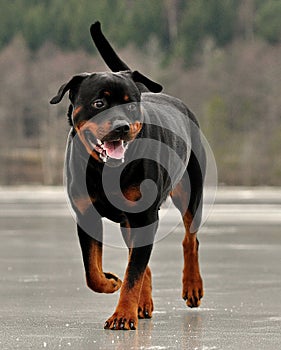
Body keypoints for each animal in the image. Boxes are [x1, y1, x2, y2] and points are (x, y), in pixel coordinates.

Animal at [49, 22, 203, 330]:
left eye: (131, 105)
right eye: (98, 103)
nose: (120, 126)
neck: (105, 169)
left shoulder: (144, 215)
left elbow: (134, 273)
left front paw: (122, 315)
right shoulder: (86, 214)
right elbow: (93, 273)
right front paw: (111, 282)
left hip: (191, 190)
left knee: (190, 239)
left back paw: (192, 286)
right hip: (128, 221)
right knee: (141, 258)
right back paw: (143, 303)